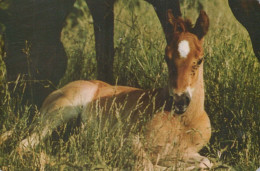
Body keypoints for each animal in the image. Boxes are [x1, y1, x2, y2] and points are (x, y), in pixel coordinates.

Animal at [14, 10, 211, 170]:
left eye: (200, 59)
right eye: (166, 57)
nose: (179, 101)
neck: (183, 122)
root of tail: (55, 93)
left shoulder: (186, 152)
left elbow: (205, 162)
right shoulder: (129, 140)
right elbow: (147, 165)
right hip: (59, 115)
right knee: (23, 146)